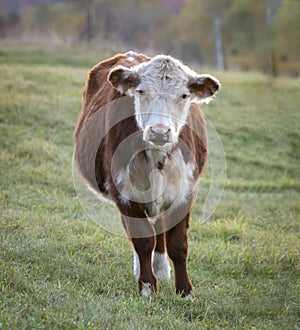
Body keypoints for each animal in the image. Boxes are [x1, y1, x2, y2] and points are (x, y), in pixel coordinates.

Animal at [74, 51, 220, 296]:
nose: (159, 131)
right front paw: (147, 287)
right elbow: (142, 241)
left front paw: (185, 291)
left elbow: (178, 244)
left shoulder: (185, 193)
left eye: (183, 95)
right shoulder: (124, 193)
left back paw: (161, 268)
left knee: (159, 230)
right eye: (141, 91)